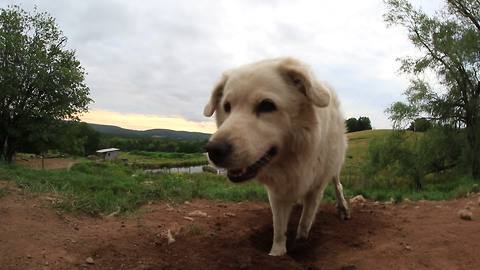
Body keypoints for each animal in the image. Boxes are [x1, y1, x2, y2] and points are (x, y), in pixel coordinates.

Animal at [202, 57, 348, 255]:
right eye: (227, 107)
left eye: (266, 105)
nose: (213, 150)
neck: (293, 158)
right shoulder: (276, 192)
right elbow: (278, 228)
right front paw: (277, 253)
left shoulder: (316, 188)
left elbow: (305, 223)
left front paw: (300, 246)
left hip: (333, 165)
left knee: (338, 185)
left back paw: (343, 208)